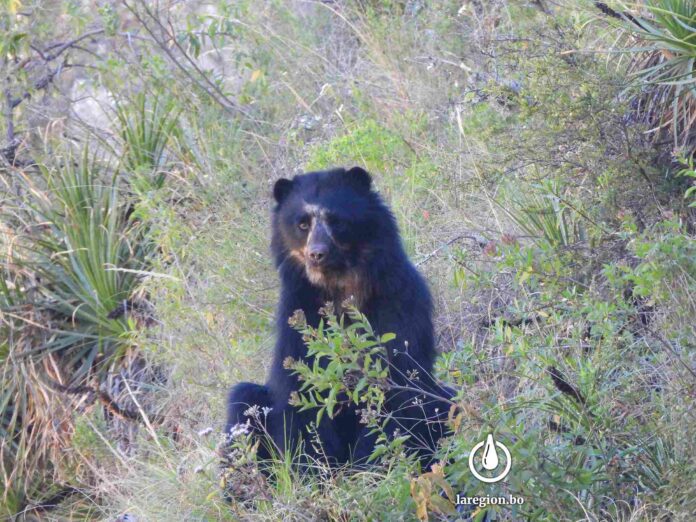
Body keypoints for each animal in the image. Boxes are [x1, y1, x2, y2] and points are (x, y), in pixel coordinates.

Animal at [225, 167, 453, 467]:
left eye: (336, 221)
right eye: (302, 225)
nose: (316, 254)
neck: (339, 285)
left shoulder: (397, 303)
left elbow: (396, 381)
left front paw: (371, 467)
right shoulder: (298, 315)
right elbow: (302, 392)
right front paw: (314, 467)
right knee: (242, 399)